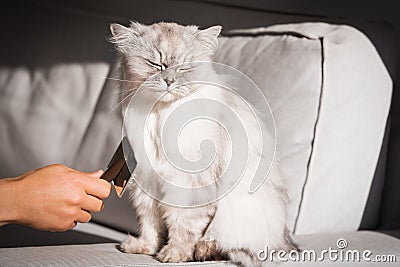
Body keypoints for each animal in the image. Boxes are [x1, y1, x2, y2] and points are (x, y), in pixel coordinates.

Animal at [109, 21, 296, 267]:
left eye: (184, 68)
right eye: (155, 64)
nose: (169, 81)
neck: (161, 115)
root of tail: (286, 241)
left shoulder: (189, 186)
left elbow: (183, 227)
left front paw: (174, 254)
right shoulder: (146, 185)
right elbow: (151, 226)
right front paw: (143, 247)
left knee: (221, 244)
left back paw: (204, 251)